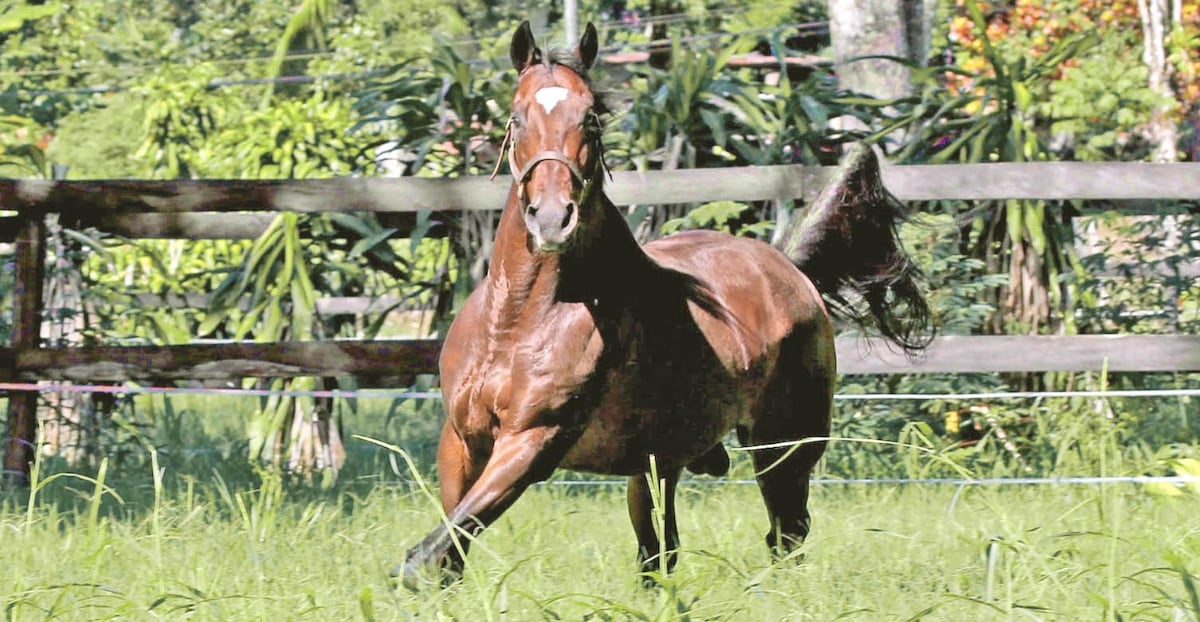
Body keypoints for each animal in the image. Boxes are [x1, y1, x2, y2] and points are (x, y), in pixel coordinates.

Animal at [398, 20, 931, 590]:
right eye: (516, 118)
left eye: (591, 118)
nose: (552, 219)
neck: (519, 321)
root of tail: (790, 269)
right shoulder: (461, 441)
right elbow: (448, 553)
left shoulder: (532, 442)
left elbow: (426, 555)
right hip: (656, 463)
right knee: (662, 554)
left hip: (783, 447)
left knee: (786, 535)